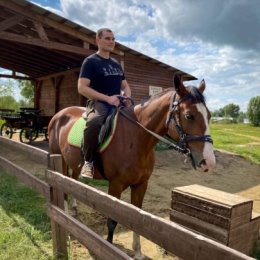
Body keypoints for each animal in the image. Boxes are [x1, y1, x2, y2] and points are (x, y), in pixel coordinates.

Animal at [48, 76, 215, 258]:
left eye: (209, 116)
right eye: (189, 116)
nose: (209, 161)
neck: (136, 138)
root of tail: (59, 115)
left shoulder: (141, 185)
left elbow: (136, 217)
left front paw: (138, 252)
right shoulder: (115, 185)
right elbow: (112, 220)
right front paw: (108, 248)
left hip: (75, 163)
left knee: (72, 182)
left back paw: (73, 210)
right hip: (60, 159)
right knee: (62, 186)